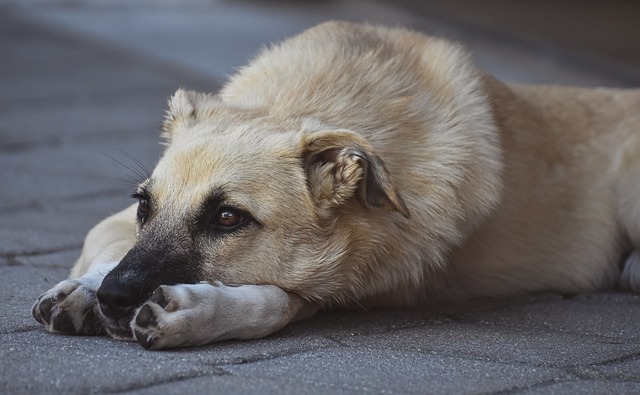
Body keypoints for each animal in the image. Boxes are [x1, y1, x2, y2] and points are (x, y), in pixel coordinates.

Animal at [32, 20, 640, 350]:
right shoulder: (112, 223)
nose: (114, 300)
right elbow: (111, 251)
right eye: (144, 205)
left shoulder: (339, 286)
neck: (307, 99)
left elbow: (275, 301)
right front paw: (86, 288)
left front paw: (195, 313)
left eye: (228, 218)